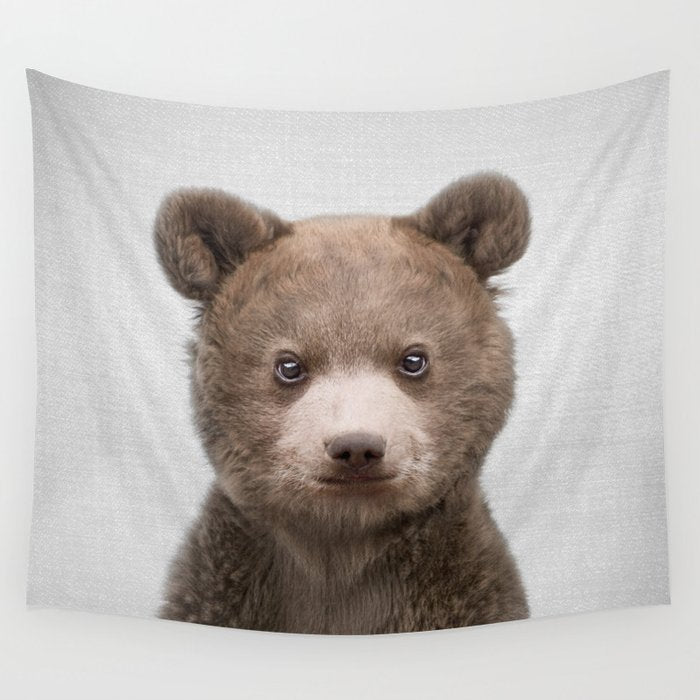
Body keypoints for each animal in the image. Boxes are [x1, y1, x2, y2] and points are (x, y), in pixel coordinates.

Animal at [154, 172, 530, 634]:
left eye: (413, 359)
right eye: (289, 365)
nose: (356, 447)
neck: (343, 545)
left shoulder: (463, 587)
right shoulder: (225, 584)